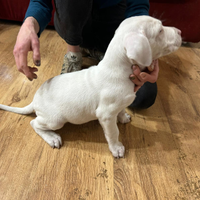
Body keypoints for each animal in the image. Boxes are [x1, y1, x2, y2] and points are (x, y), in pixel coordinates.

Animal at [0, 16, 181, 158]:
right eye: (160, 31)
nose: (179, 32)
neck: (118, 69)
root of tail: (35, 100)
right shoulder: (106, 115)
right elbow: (113, 132)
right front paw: (116, 148)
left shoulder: (119, 104)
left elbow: (122, 109)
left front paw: (123, 117)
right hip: (55, 120)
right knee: (35, 124)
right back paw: (52, 138)